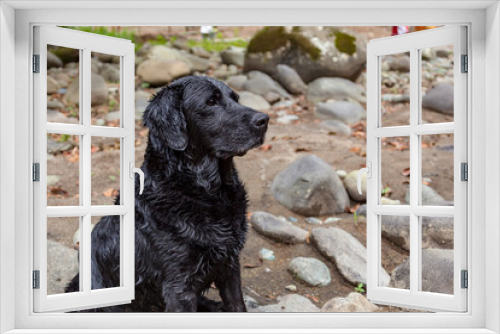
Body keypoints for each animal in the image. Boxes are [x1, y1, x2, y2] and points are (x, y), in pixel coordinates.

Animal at [67, 74, 270, 312]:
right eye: (211, 102)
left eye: (236, 99)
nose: (264, 120)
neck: (207, 193)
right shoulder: (179, 285)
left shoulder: (229, 265)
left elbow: (237, 305)